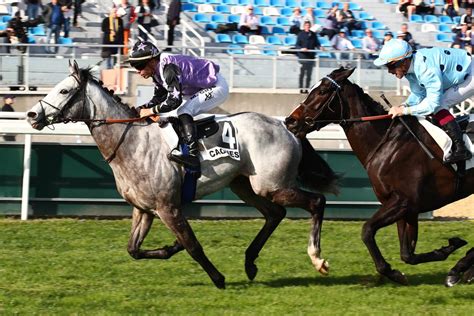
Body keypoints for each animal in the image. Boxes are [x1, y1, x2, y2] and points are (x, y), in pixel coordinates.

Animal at [26, 61, 336, 288]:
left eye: (64, 91)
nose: (31, 115)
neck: (131, 142)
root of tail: (285, 125)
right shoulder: (144, 209)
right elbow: (134, 250)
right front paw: (171, 247)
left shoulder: (168, 207)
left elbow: (193, 245)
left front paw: (218, 278)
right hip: (244, 185)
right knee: (275, 214)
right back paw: (250, 262)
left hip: (269, 185)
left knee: (315, 202)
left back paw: (317, 259)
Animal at [284, 67, 472, 286]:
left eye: (322, 91)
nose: (290, 121)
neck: (389, 143)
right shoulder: (407, 208)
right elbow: (408, 254)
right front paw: (450, 248)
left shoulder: (402, 202)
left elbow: (367, 230)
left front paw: (392, 272)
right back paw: (462, 268)